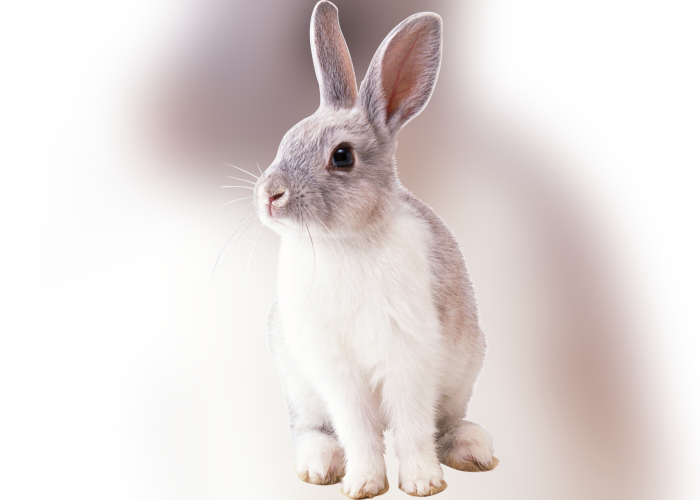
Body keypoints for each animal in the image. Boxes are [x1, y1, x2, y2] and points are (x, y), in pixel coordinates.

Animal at [254, 1, 498, 497]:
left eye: (342, 156)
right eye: (286, 140)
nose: (269, 195)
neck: (344, 242)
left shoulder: (408, 358)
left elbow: (412, 427)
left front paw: (422, 483)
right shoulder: (337, 371)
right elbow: (358, 430)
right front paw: (363, 484)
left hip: (463, 373)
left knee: (445, 423)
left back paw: (473, 450)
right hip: (299, 383)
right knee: (310, 428)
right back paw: (319, 466)